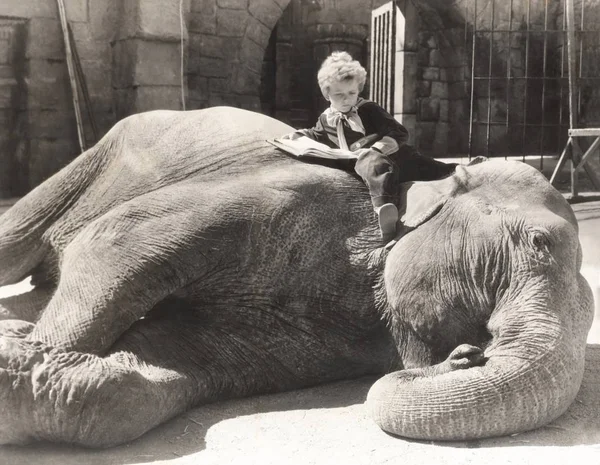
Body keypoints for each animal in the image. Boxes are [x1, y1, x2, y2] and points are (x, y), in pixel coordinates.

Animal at [0, 105, 592, 446]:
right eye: (538, 243)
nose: (468, 355)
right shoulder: (288, 194)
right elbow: (116, 242)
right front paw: (20, 349)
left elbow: (168, 364)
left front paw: (26, 351)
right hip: (99, 156)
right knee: (17, 241)